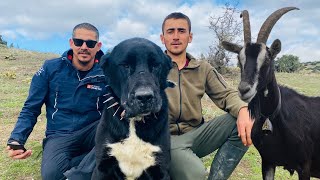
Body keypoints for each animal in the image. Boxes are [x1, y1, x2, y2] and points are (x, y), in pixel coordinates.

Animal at [91, 37, 174, 179]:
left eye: (156, 65)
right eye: (125, 65)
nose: (145, 97)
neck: (134, 121)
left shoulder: (161, 169)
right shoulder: (102, 167)